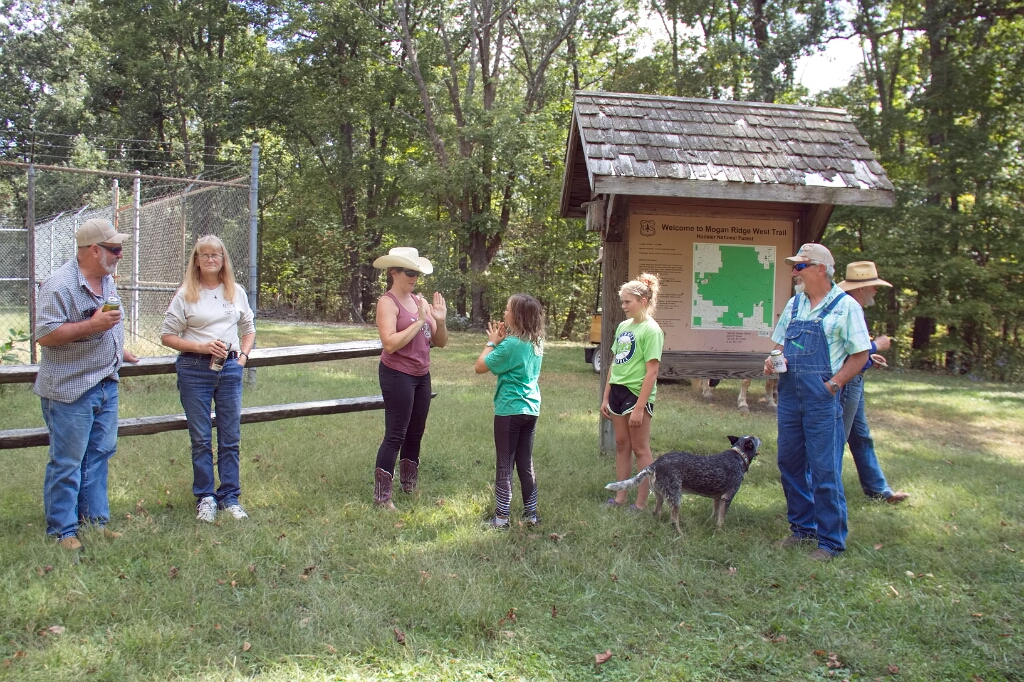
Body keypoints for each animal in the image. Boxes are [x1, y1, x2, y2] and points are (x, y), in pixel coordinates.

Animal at [605, 435, 761, 534]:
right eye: (755, 439)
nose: (761, 439)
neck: (738, 455)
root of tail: (655, 464)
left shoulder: (717, 498)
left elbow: (715, 514)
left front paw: (711, 524)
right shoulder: (727, 498)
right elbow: (721, 519)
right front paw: (719, 532)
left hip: (660, 495)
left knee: (656, 512)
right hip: (676, 498)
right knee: (674, 521)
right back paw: (681, 535)